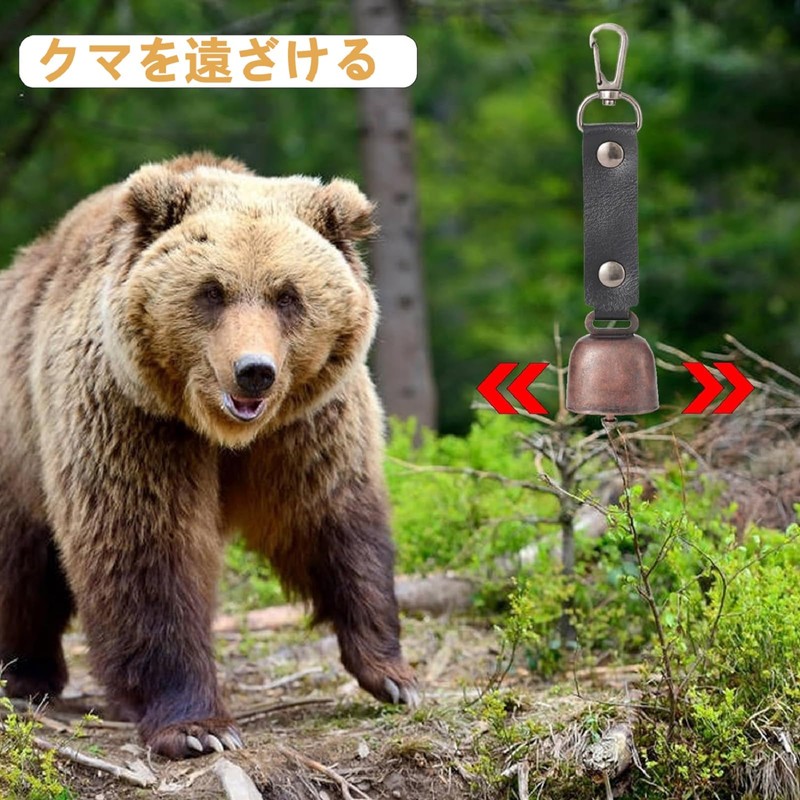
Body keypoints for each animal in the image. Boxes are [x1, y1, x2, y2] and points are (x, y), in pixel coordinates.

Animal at [0, 152, 418, 759]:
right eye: (212, 291)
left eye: (287, 295)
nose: (254, 370)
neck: (222, 434)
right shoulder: (134, 419)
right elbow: (146, 548)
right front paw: (199, 727)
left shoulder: (305, 427)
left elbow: (334, 520)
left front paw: (391, 673)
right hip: (19, 440)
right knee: (22, 560)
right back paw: (26, 675)